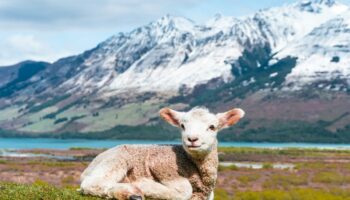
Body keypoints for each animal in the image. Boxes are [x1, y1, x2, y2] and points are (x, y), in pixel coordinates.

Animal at [79, 105, 245, 199]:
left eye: (212, 127)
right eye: (182, 126)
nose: (192, 139)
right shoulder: (162, 165)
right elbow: (184, 191)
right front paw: (145, 185)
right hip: (116, 161)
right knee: (92, 184)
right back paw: (130, 192)